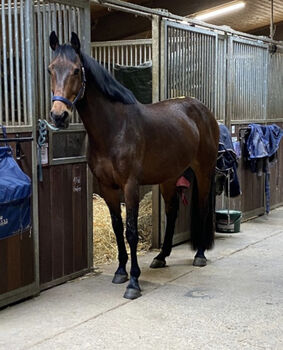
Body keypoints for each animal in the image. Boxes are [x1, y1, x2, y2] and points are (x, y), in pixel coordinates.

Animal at [48, 32, 220, 300]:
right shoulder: (107, 187)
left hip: (204, 171)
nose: (59, 116)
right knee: (172, 211)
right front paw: (121, 271)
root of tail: (202, 110)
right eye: (51, 70)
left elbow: (131, 231)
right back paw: (161, 257)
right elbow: (118, 227)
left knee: (202, 208)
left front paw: (134, 283)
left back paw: (200, 255)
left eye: (76, 70)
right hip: (169, 177)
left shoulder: (130, 186)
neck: (114, 128)